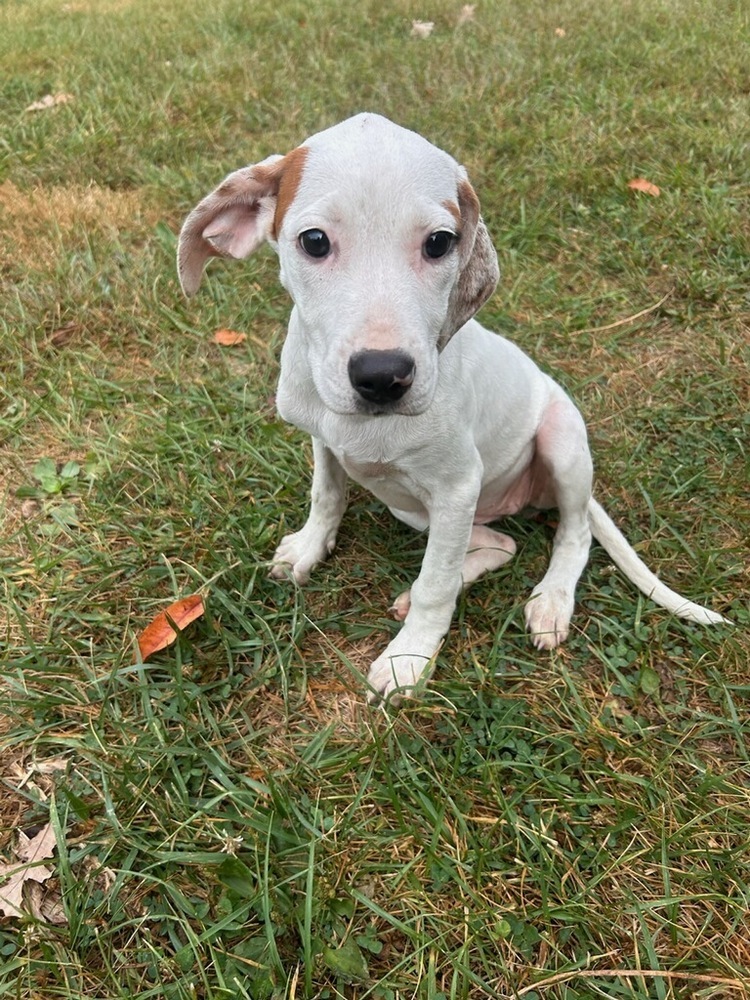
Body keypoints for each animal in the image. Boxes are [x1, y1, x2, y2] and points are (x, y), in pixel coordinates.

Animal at [178, 111, 728, 704]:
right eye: (315, 241)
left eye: (440, 243)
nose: (383, 376)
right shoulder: (325, 439)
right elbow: (327, 496)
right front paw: (308, 548)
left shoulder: (457, 484)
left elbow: (437, 583)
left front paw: (409, 657)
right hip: (418, 509)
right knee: (501, 544)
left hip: (558, 442)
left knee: (572, 533)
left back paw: (551, 600)